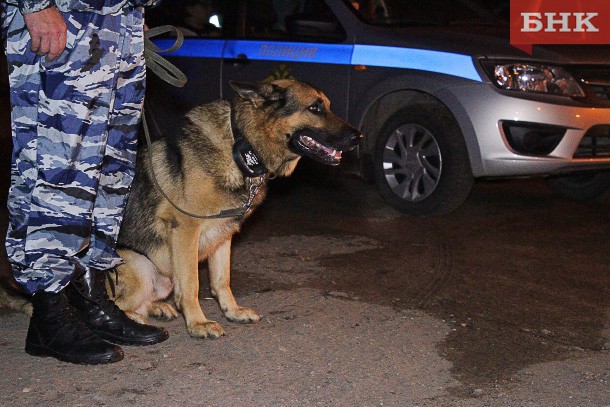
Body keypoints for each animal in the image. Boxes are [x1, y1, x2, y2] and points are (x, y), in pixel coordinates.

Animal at [111, 79, 358, 338]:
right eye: (314, 108)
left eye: (328, 106)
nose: (359, 137)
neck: (241, 147)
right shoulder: (186, 228)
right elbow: (191, 283)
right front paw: (198, 323)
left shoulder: (223, 232)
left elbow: (222, 279)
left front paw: (232, 311)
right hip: (141, 267)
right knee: (118, 303)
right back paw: (136, 319)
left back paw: (157, 308)